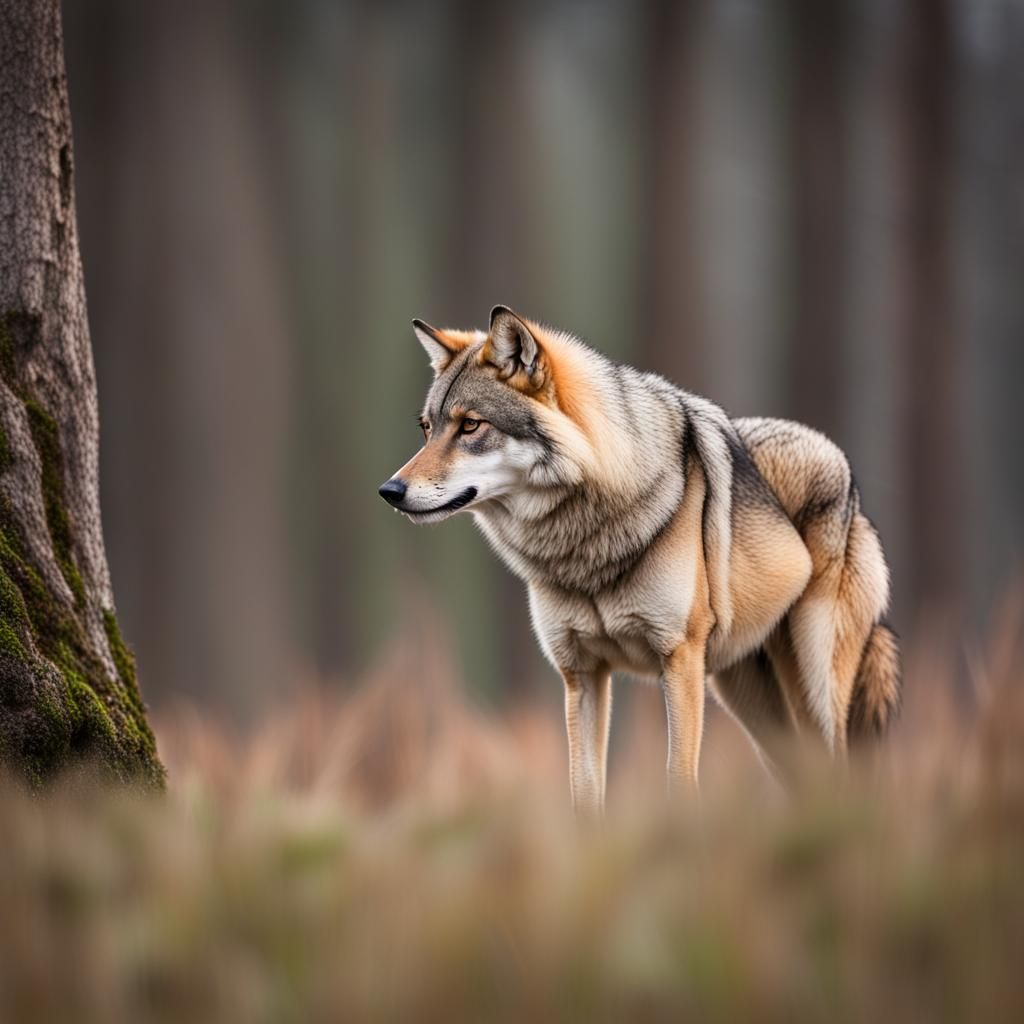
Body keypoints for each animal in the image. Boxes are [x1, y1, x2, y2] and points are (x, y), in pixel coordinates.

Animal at [379, 306, 901, 814]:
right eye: (427, 429)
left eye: (470, 425)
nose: (390, 490)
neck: (584, 545)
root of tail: (842, 465)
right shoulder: (581, 673)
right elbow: (585, 795)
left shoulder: (679, 661)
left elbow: (679, 781)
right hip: (753, 705)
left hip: (814, 688)